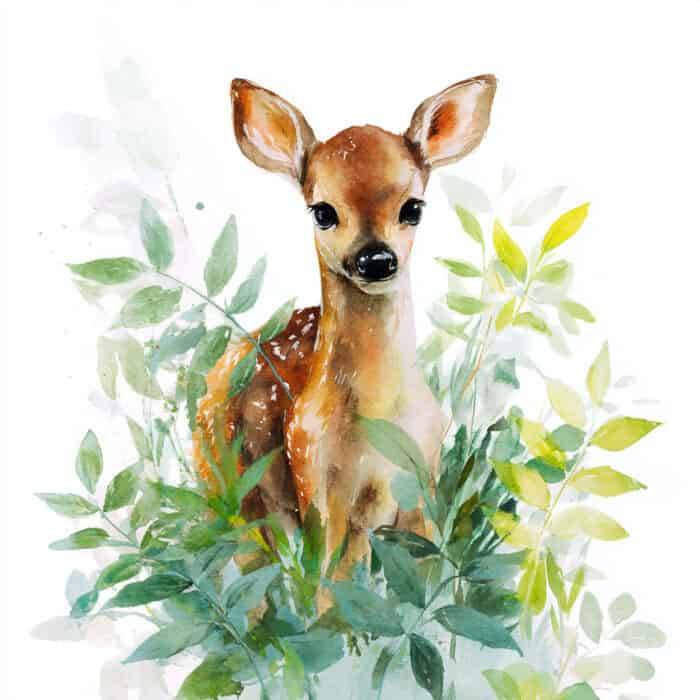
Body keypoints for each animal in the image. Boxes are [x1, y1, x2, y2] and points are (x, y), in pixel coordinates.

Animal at [193, 74, 497, 583]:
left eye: (413, 207)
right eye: (322, 211)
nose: (375, 259)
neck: (377, 420)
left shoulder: (423, 487)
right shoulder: (316, 485)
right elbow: (329, 593)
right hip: (226, 487)